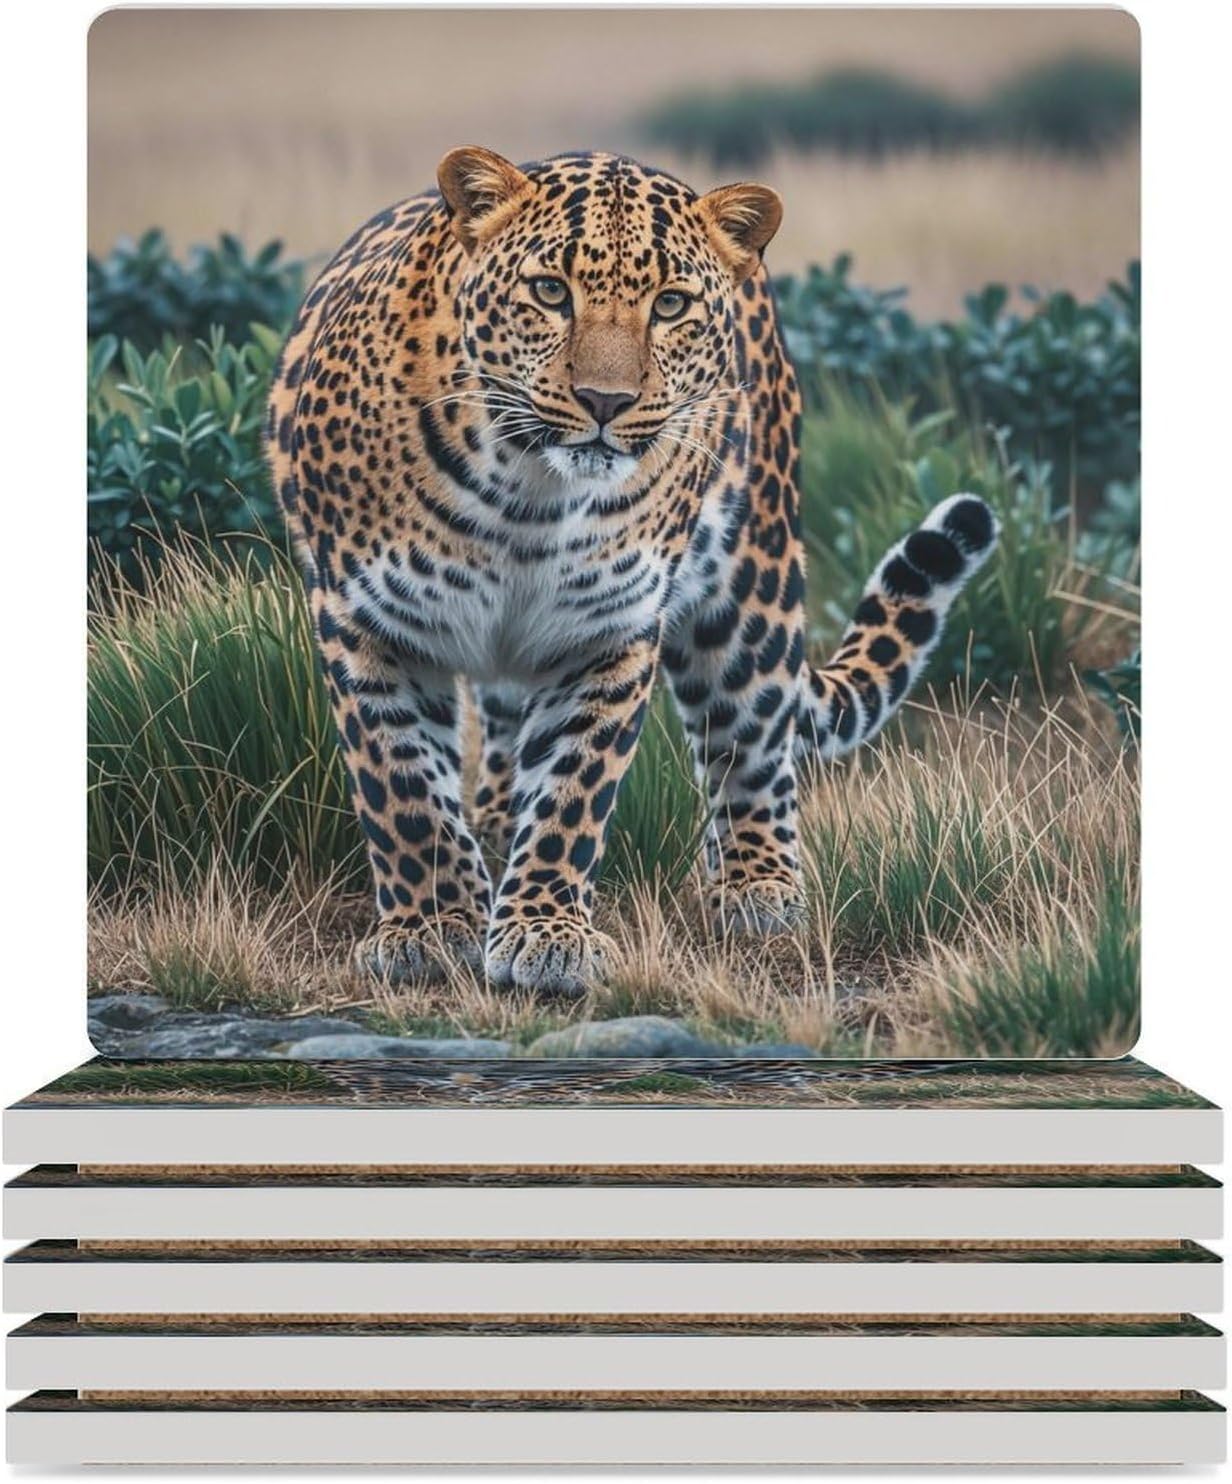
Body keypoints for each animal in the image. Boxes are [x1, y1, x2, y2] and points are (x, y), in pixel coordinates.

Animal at [266, 147, 997, 998]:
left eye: (671, 304)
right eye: (551, 291)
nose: (605, 402)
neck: (527, 495)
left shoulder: (605, 632)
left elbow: (573, 790)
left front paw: (544, 933)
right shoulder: (368, 622)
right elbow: (403, 789)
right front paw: (432, 927)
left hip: (751, 582)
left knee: (753, 738)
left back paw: (756, 885)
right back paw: (492, 827)